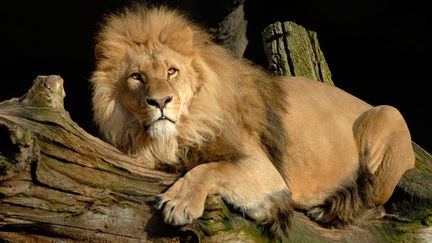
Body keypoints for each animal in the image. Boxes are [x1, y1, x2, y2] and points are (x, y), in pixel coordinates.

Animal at [90, 5, 416, 239]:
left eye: (172, 71)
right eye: (136, 77)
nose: (160, 102)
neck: (177, 132)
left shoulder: (264, 169)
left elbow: (209, 168)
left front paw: (178, 203)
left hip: (389, 113)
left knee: (373, 198)